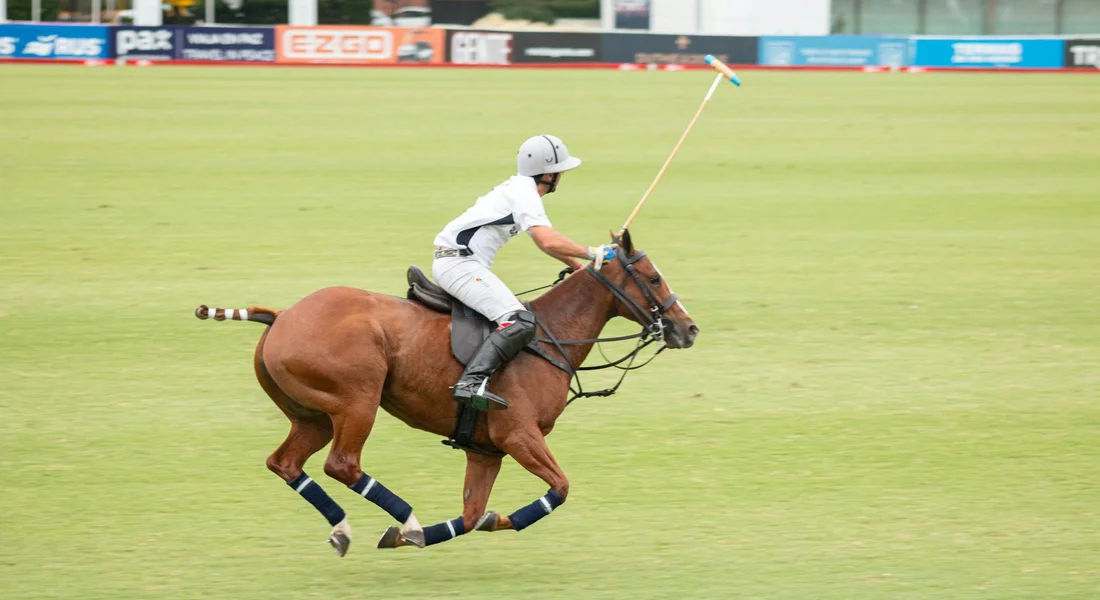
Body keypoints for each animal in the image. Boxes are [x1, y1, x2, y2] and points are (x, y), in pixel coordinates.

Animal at [195, 229, 697, 555]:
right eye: (653, 278)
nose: (688, 328)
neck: (550, 336)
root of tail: (282, 315)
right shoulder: (519, 435)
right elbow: (560, 488)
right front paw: (416, 532)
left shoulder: (486, 449)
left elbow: (474, 515)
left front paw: (457, 527)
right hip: (357, 401)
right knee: (342, 464)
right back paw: (408, 520)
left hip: (311, 415)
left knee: (284, 462)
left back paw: (347, 529)